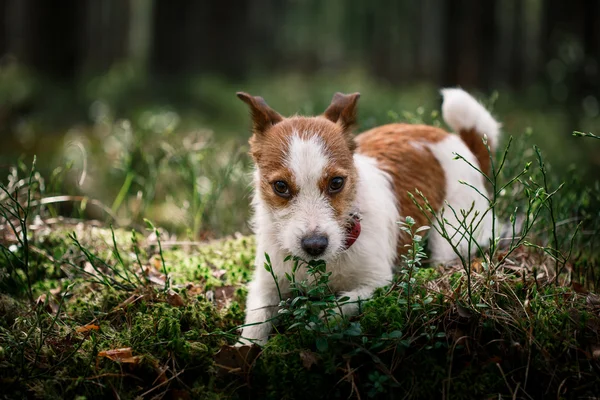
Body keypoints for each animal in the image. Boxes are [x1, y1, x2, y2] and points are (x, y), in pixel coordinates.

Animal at [237, 88, 500, 344]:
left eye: (336, 182)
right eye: (280, 186)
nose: (315, 245)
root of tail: (459, 143)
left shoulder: (377, 284)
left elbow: (338, 308)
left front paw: (316, 326)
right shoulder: (266, 283)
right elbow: (256, 321)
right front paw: (246, 347)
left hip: (451, 238)